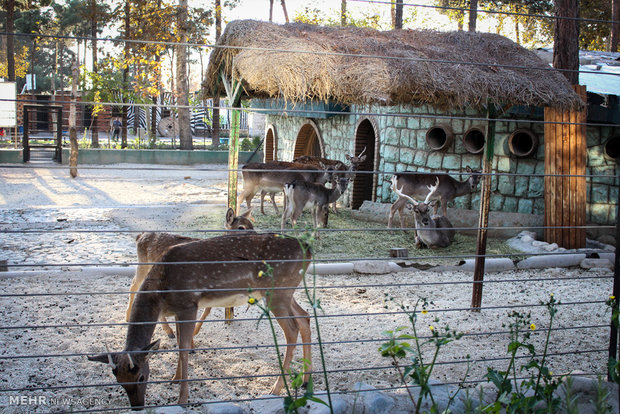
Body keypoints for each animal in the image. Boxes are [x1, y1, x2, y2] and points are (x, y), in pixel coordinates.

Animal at [88, 233, 310, 408]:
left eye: (142, 376)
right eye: (119, 381)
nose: (137, 407)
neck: (161, 290)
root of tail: (308, 251)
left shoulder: (188, 305)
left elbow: (184, 348)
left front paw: (182, 399)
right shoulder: (179, 311)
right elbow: (179, 343)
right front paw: (174, 379)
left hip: (277, 291)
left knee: (292, 329)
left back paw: (276, 388)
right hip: (286, 292)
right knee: (304, 317)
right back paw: (306, 381)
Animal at [124, 207, 253, 342]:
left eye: (252, 224)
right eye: (241, 227)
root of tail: (140, 236)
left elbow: (208, 309)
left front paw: (194, 334)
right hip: (144, 264)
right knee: (135, 285)